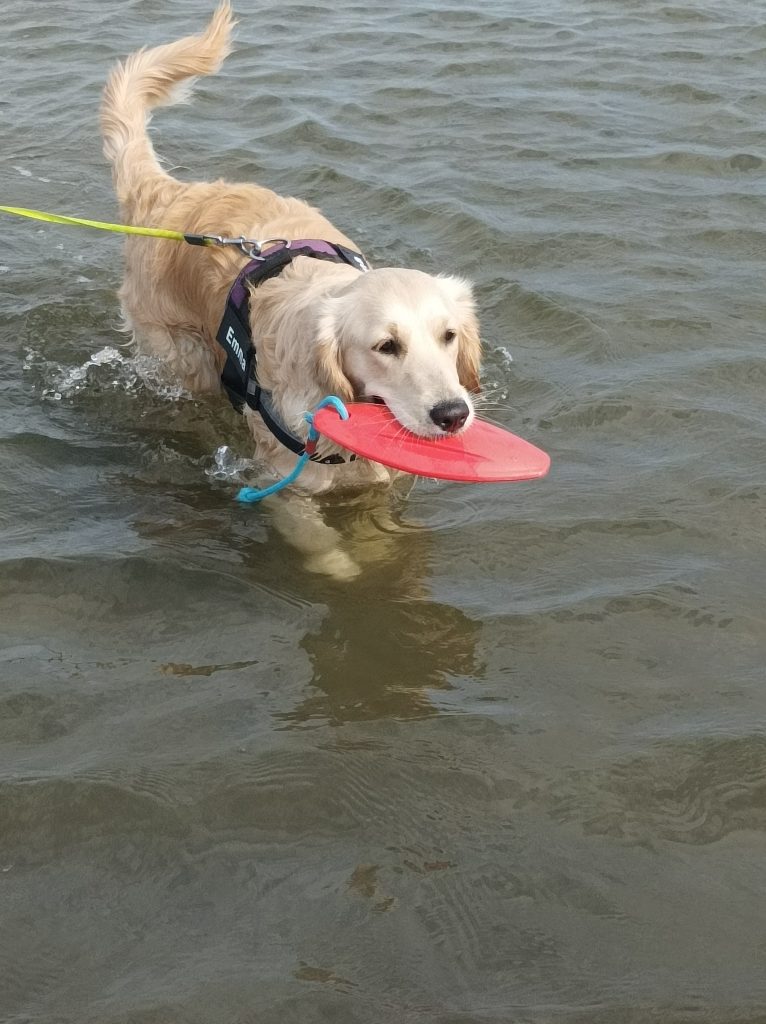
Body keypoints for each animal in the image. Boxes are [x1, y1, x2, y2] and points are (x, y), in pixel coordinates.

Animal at [101, 2, 482, 577]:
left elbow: (379, 534)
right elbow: (325, 552)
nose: (453, 414)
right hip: (185, 358)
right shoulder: (285, 486)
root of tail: (168, 193)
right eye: (386, 346)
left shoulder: (381, 485)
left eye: (449, 336)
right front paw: (350, 576)